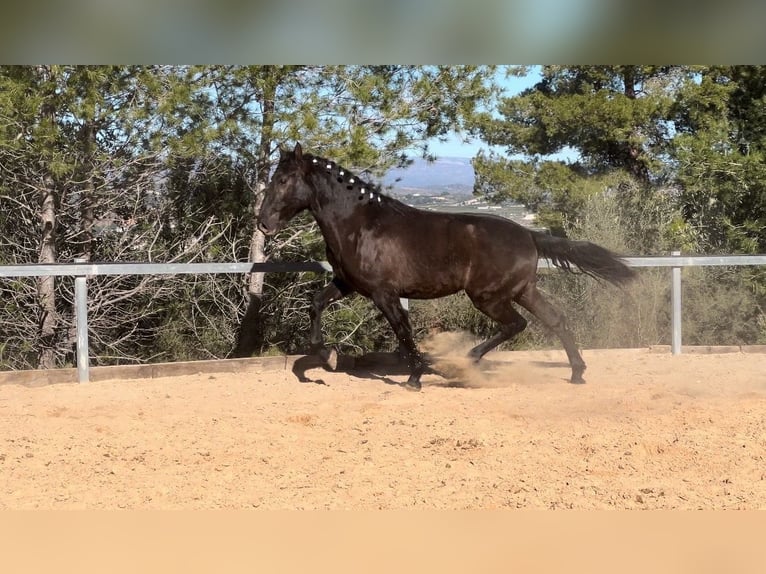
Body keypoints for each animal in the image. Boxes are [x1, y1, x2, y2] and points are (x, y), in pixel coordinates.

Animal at [258, 143, 636, 392]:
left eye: (283, 180)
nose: (264, 224)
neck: (361, 224)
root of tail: (528, 234)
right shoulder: (347, 283)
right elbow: (316, 305)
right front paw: (327, 357)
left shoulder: (383, 293)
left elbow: (403, 332)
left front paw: (415, 378)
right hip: (522, 291)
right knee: (555, 319)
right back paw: (577, 373)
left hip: (487, 296)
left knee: (517, 324)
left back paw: (463, 363)